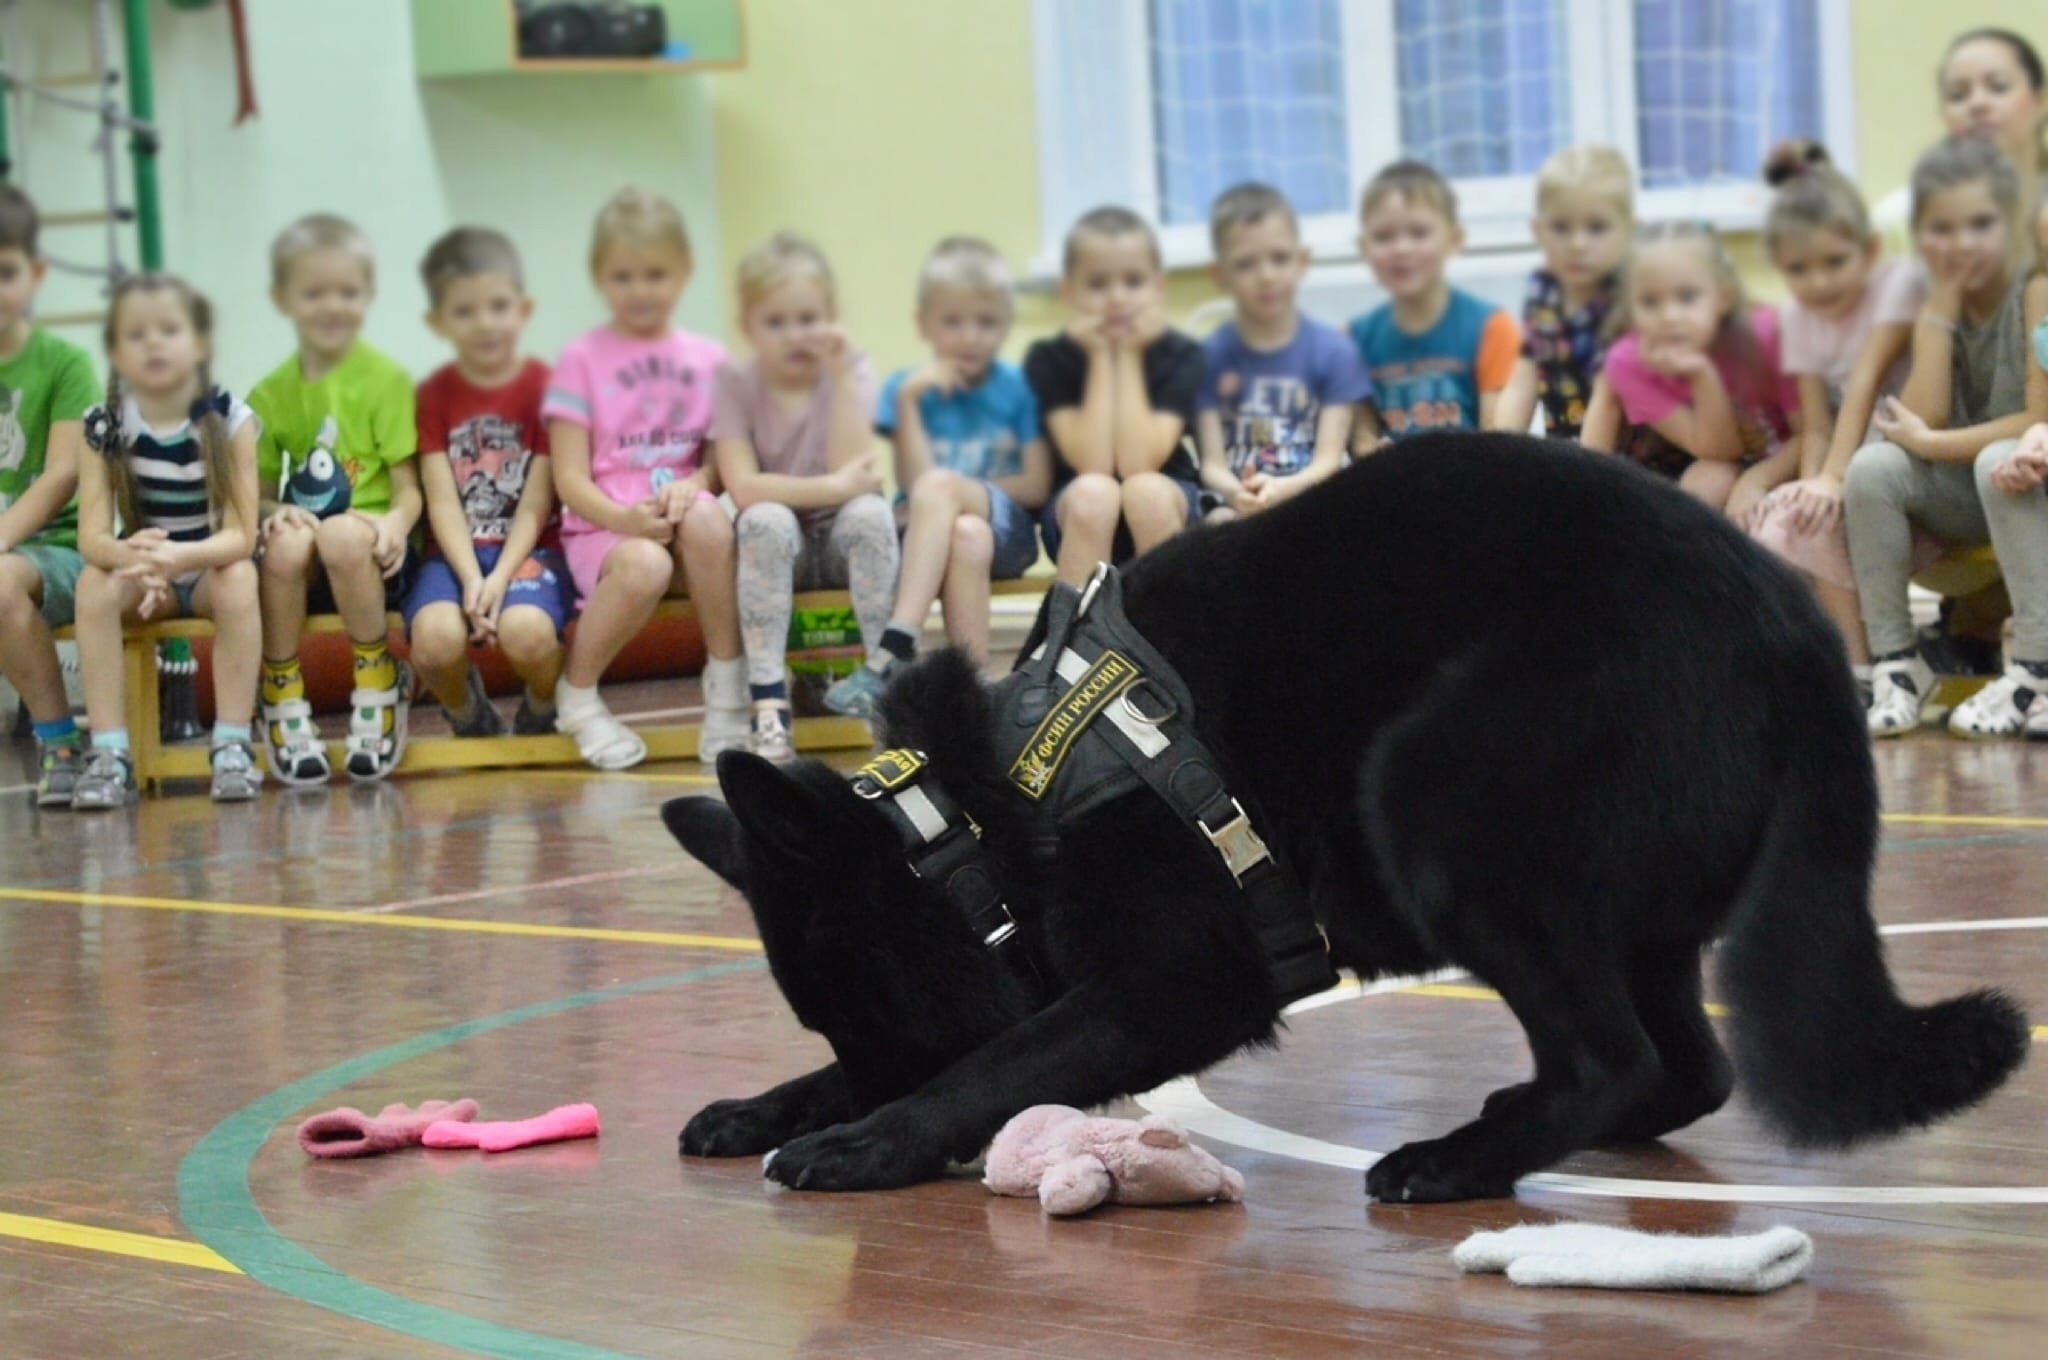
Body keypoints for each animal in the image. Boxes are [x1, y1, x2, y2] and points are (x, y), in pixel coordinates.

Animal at [663, 436, 2023, 1204]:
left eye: (865, 1006)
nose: (865, 1090)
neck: (996, 812)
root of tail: (1795, 636)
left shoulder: (1178, 983)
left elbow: (998, 1060)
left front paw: (873, 1136)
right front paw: (775, 1107)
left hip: (1432, 800)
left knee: (1617, 1060)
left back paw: (1456, 1160)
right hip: (1617, 909)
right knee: (1685, 1066)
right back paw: (1511, 1123)